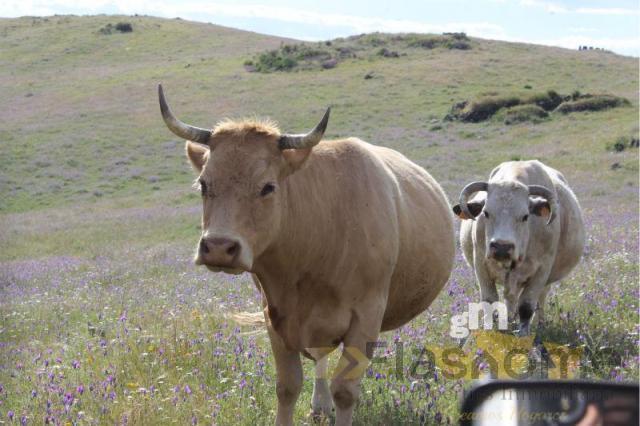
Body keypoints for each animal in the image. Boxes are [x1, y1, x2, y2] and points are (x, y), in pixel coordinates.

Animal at [158, 85, 456, 424]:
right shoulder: (274, 314)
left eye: (268, 187)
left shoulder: (367, 316)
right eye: (204, 184)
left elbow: (346, 390)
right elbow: (287, 386)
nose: (219, 247)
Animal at [450, 158, 584, 334]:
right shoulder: (481, 265)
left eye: (525, 216)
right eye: (486, 213)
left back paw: (539, 324)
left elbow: (526, 307)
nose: (501, 247)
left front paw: (523, 335)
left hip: (544, 282)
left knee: (540, 300)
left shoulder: (541, 272)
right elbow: (489, 302)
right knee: (511, 300)